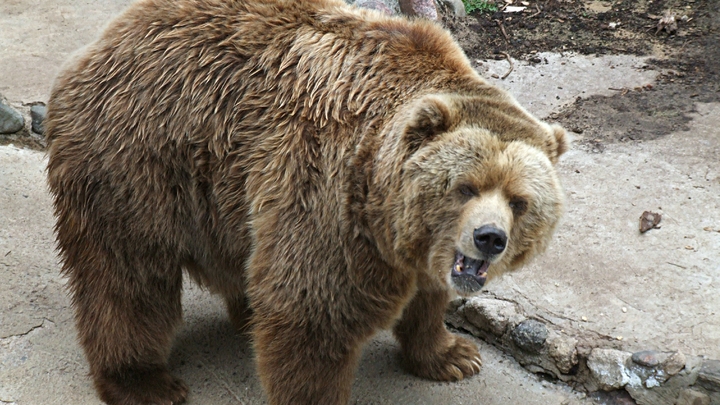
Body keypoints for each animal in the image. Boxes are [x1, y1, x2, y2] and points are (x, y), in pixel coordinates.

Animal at [45, 0, 564, 404]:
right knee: (129, 277)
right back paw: (144, 381)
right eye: (465, 186)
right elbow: (311, 314)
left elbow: (429, 294)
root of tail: (98, 45)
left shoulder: (411, 241)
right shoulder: (332, 194)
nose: (489, 238)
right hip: (138, 159)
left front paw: (453, 355)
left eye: (519, 200)